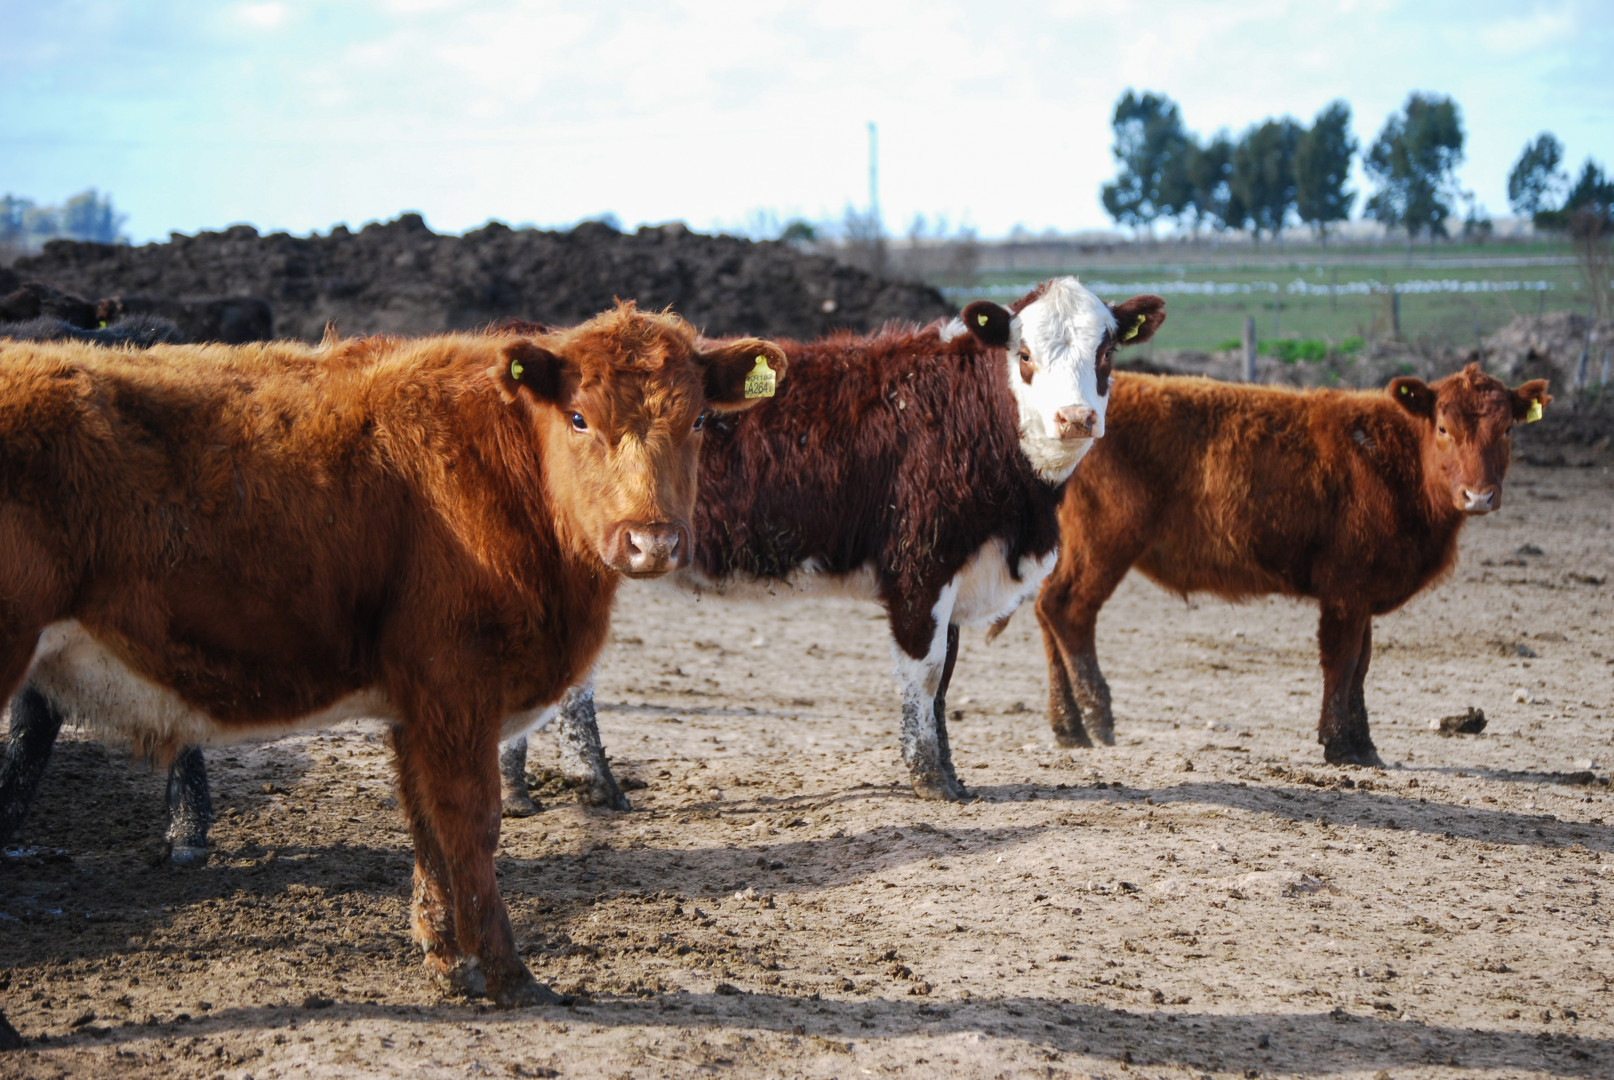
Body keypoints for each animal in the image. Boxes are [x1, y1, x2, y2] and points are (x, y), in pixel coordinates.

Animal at [0, 305, 787, 1013]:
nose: (652, 541)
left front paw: (447, 961)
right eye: (579, 419)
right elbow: (471, 825)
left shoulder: (419, 707)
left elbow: (426, 826)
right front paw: (508, 975)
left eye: (698, 422)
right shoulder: (456, 687)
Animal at [1032, 364, 1549, 765]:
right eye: (1443, 428)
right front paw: (1340, 745)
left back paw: (1068, 727)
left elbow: (1361, 664)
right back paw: (1099, 721)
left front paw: (1364, 745)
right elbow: (1342, 659)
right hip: (1104, 541)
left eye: (1507, 429)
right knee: (1069, 611)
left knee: (1046, 611)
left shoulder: (1362, 592)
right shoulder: (1346, 587)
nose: (1479, 496)